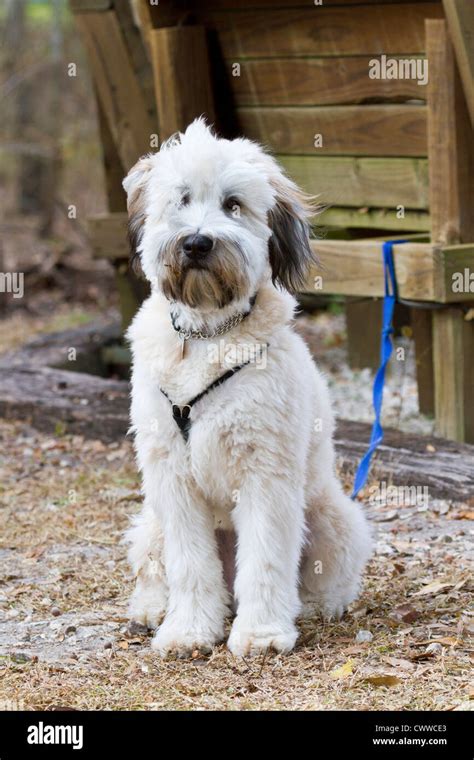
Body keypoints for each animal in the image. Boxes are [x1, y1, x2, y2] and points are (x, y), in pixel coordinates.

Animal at [121, 120, 370, 660]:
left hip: (329, 516)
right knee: (157, 567)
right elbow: (189, 564)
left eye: (233, 204)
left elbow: (267, 560)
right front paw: (189, 630)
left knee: (324, 573)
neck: (206, 336)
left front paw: (261, 633)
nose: (197, 243)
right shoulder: (173, 480)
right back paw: (152, 608)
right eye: (182, 199)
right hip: (151, 521)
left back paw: (312, 607)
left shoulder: (265, 474)